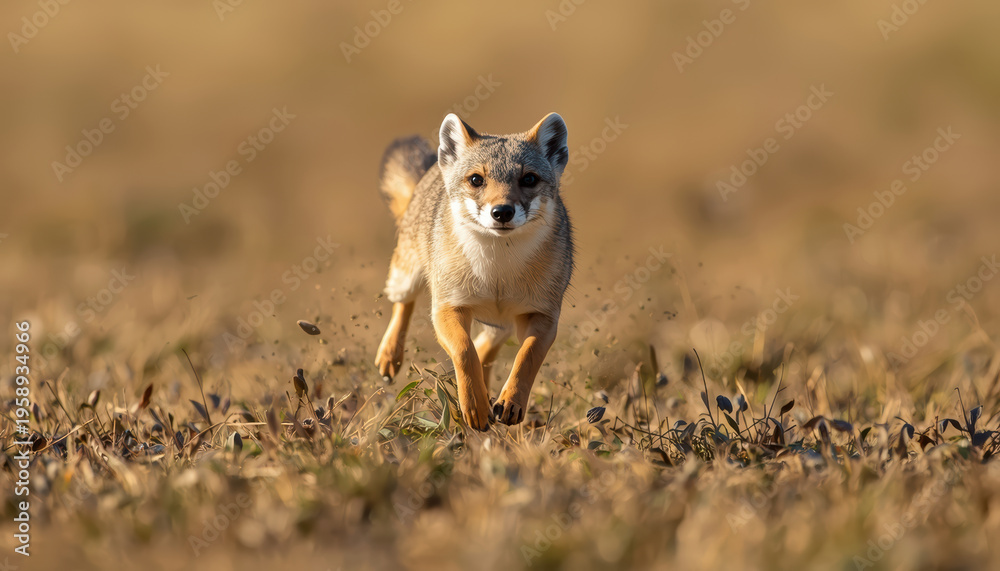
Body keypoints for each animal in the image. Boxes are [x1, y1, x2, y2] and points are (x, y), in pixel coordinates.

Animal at [374, 112, 574, 431]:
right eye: (476, 180)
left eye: (529, 179)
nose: (502, 212)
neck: (497, 271)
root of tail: (431, 171)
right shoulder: (448, 306)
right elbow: (463, 351)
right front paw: (475, 405)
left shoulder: (542, 316)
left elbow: (526, 357)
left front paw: (511, 401)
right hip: (408, 277)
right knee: (404, 304)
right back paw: (390, 355)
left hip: (504, 324)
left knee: (486, 348)